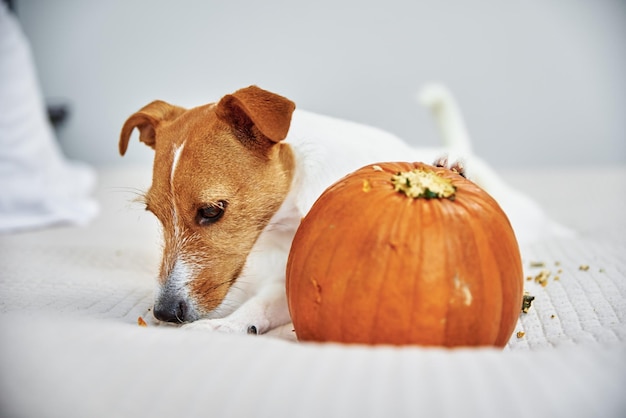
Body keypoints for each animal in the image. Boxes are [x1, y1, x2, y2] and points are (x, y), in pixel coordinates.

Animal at [118, 84, 564, 334]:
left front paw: (447, 172)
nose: (164, 313)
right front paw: (228, 325)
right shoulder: (288, 280)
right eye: (155, 215)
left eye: (212, 211)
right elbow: (260, 305)